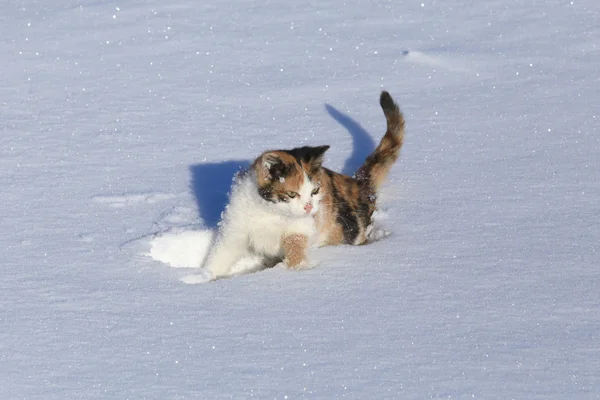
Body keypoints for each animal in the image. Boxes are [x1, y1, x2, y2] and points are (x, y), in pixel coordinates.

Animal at [200, 91, 404, 280]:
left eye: (314, 191)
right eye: (291, 194)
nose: (308, 207)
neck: (270, 212)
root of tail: (358, 183)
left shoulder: (302, 226)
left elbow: (295, 243)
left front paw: (298, 268)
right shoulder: (236, 226)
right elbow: (221, 254)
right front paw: (203, 276)